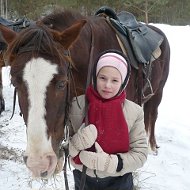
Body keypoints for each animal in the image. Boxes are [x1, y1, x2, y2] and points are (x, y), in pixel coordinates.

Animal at [0, 9, 169, 178]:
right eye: (15, 83)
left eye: (62, 83)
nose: (38, 163)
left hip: (158, 93)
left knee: (152, 115)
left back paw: (152, 146)